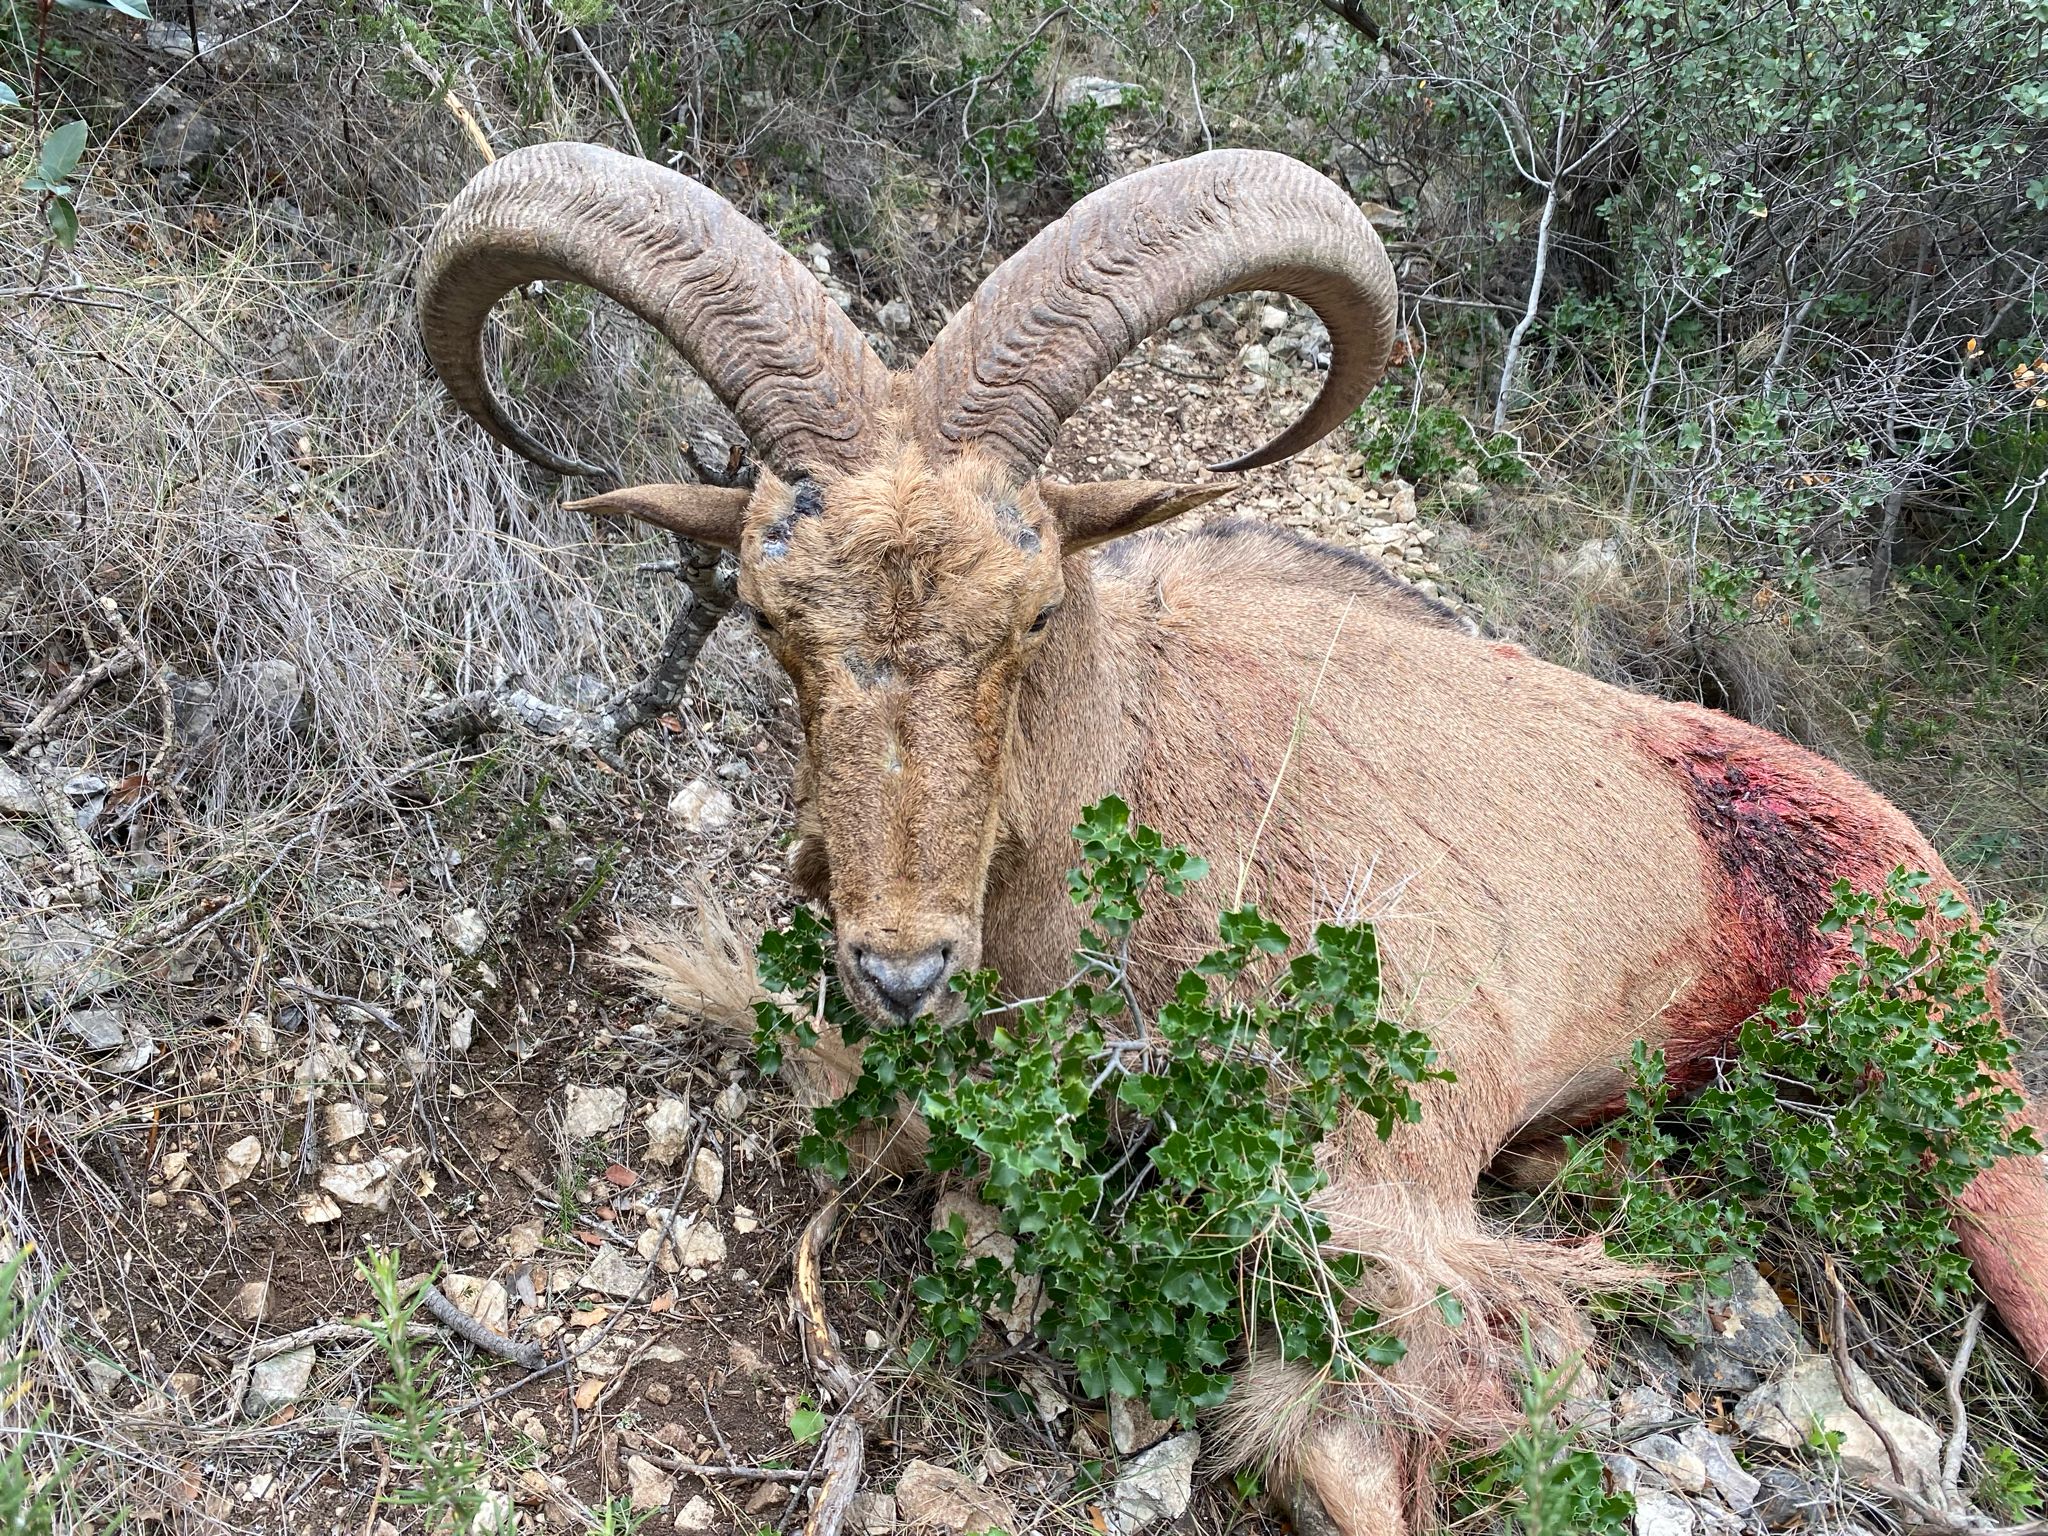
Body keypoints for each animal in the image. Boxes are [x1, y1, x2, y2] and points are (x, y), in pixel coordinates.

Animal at [419, 142, 2048, 1534]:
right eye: (768, 619)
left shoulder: (1398, 1149)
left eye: (1032, 614)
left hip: (1962, 1102)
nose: (899, 970)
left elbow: (1373, 1424)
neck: (1141, 799)